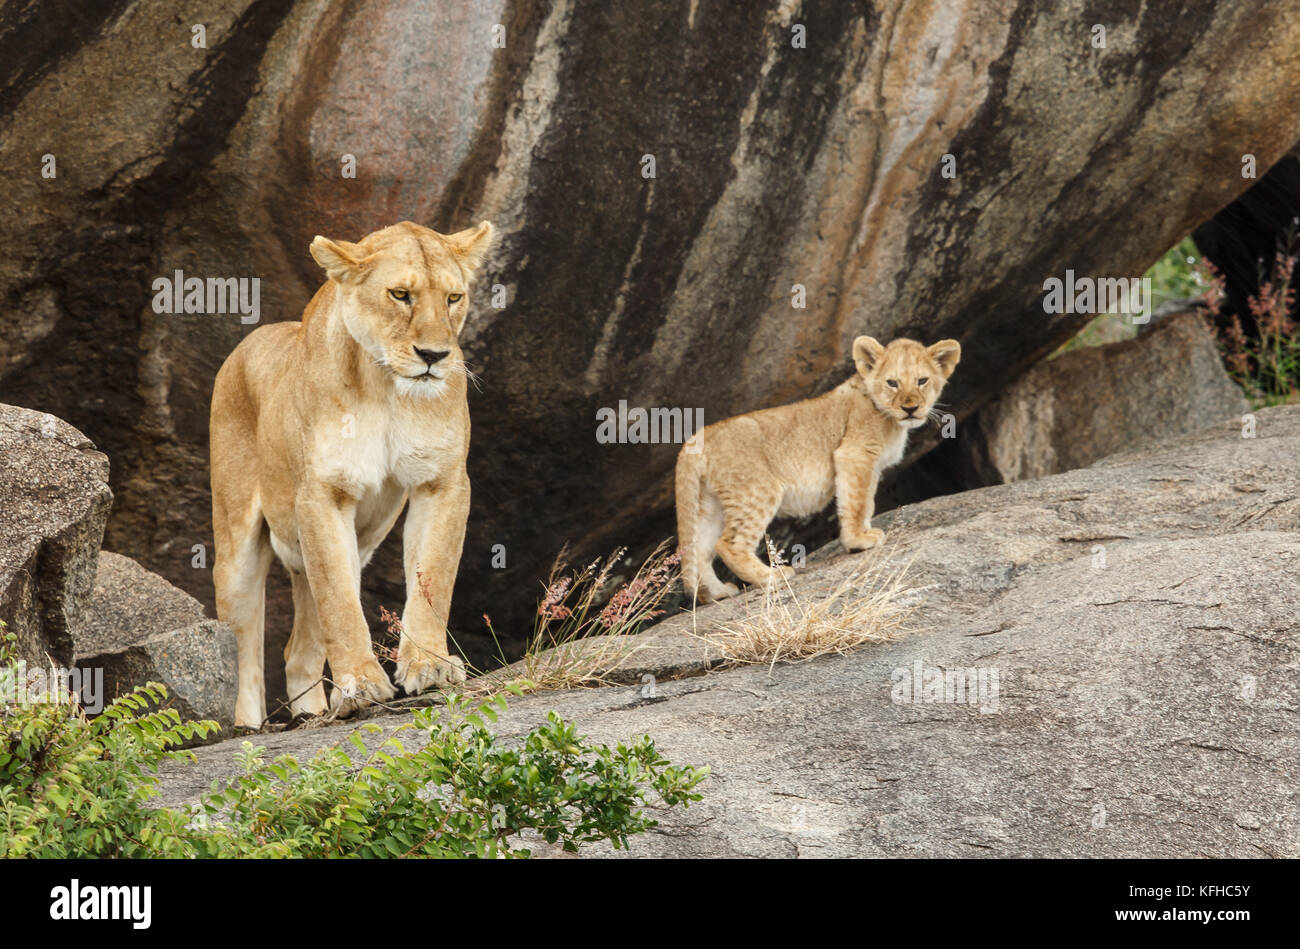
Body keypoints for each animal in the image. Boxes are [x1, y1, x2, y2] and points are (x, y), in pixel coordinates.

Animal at [210, 220, 495, 728]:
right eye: (400, 294)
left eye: (453, 298)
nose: (434, 355)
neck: (387, 387)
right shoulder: (323, 494)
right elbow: (340, 603)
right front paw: (360, 685)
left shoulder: (441, 483)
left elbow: (432, 580)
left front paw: (429, 667)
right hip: (237, 549)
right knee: (242, 644)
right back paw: (249, 724)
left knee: (298, 651)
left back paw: (311, 713)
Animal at [675, 336, 961, 603]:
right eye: (892, 383)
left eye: (922, 381)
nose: (910, 408)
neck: (888, 417)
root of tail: (700, 437)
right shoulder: (854, 454)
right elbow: (856, 502)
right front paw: (858, 541)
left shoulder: (871, 467)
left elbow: (866, 502)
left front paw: (865, 532)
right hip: (755, 491)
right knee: (728, 544)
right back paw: (771, 577)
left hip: (709, 504)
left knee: (697, 550)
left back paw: (717, 592)